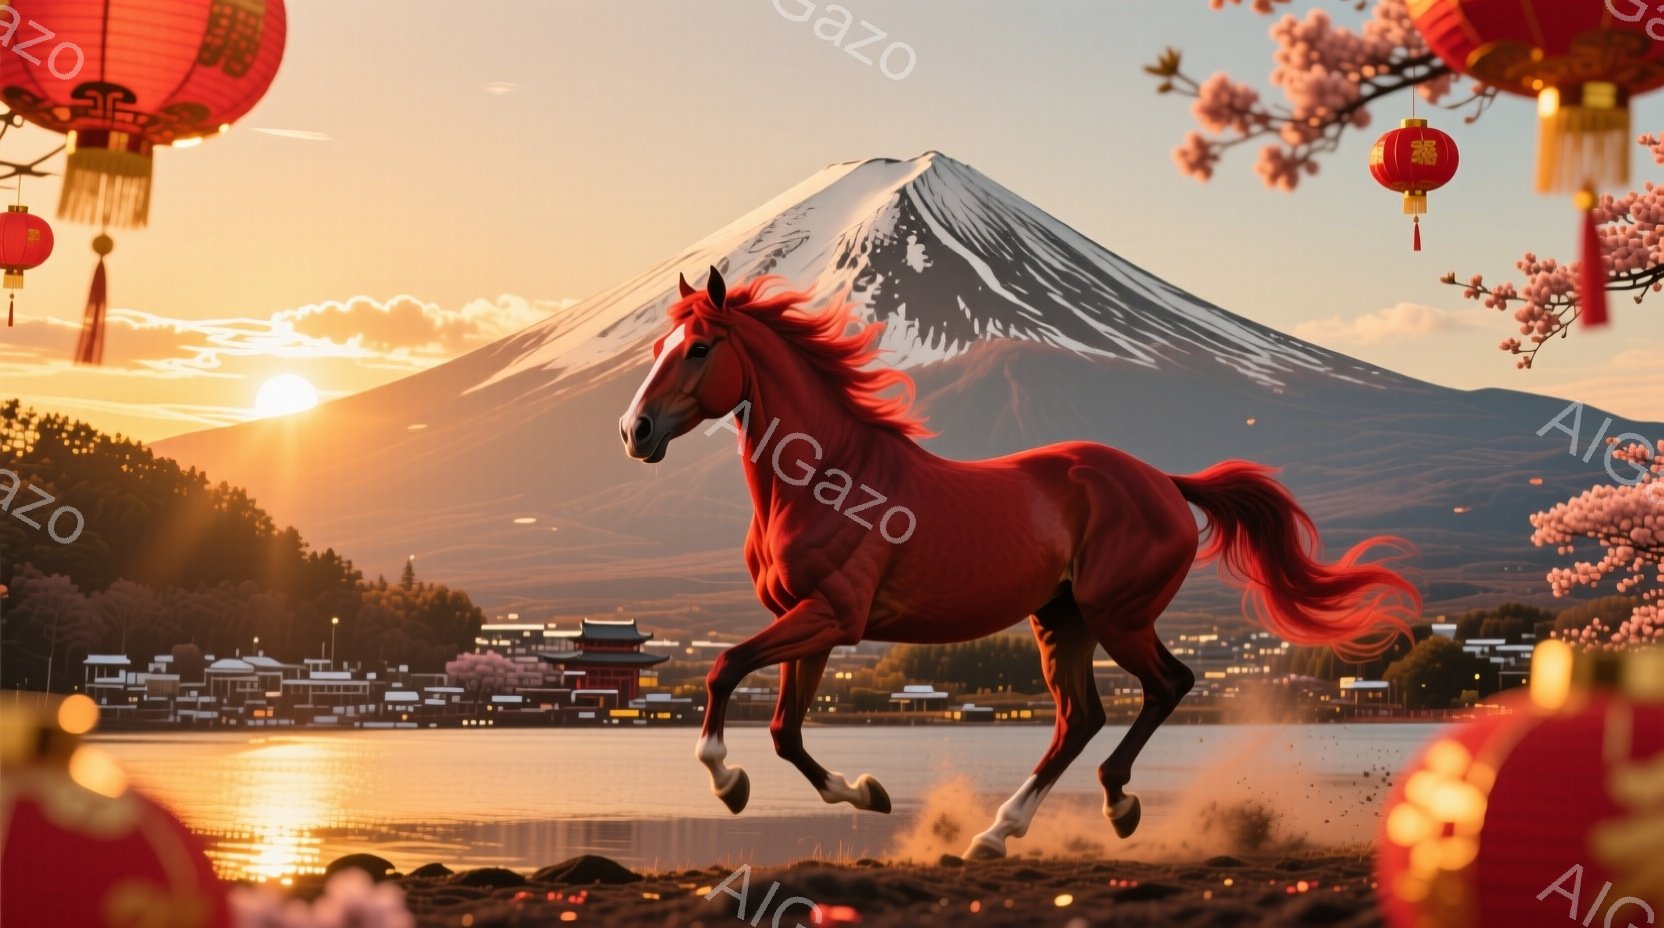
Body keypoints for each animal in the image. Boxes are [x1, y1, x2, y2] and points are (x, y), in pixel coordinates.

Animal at [618, 267, 1419, 860]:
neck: (823, 478)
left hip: (1116, 614)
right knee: (1080, 715)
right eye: (656, 346)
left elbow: (724, 669)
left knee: (1166, 685)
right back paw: (1002, 832)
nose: (635, 431)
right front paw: (868, 791)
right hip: (1061, 620)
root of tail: (1165, 480)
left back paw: (1110, 805)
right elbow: (785, 731)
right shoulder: (808, 622)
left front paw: (727, 782)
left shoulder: (833, 618)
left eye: (699, 347)